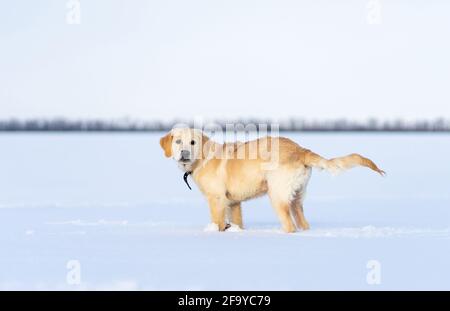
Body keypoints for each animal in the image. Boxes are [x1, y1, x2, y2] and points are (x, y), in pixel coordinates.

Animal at [160, 128, 384, 233]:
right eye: (178, 141)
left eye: (193, 142)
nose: (184, 153)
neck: (202, 159)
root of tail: (301, 150)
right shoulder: (234, 203)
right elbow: (237, 222)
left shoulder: (217, 200)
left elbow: (217, 222)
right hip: (296, 198)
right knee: (303, 223)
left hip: (277, 195)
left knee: (290, 225)